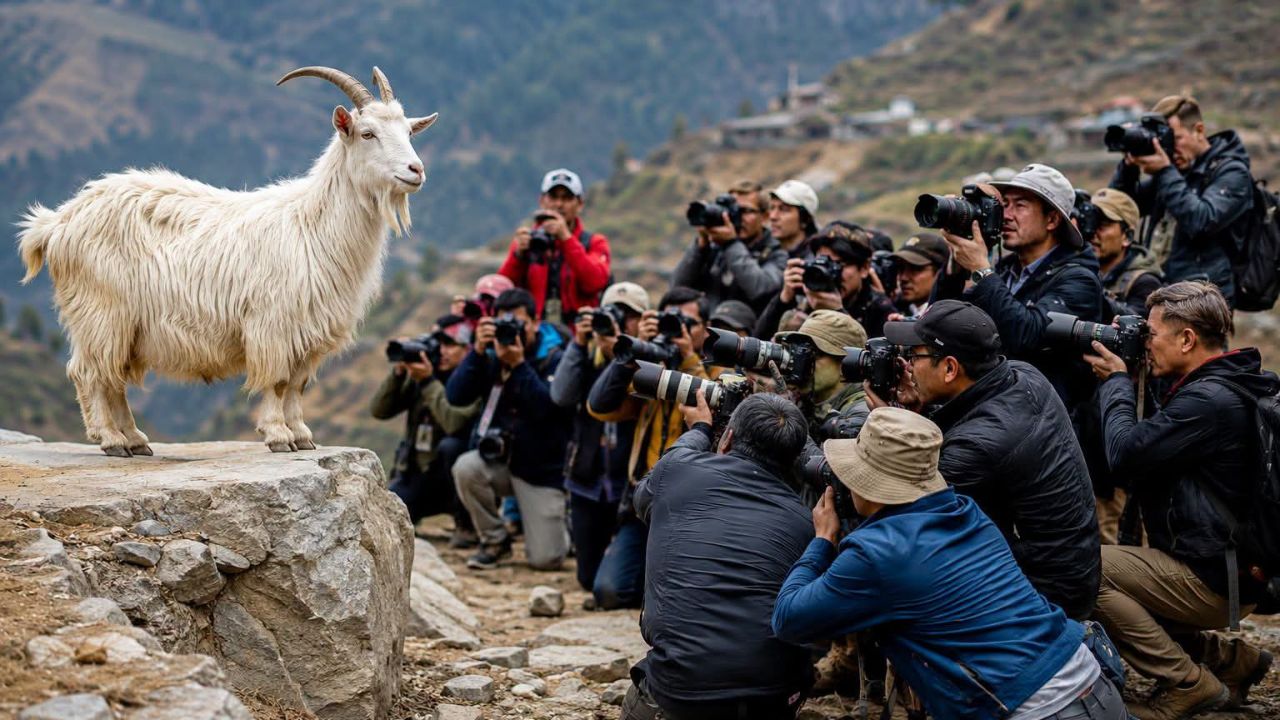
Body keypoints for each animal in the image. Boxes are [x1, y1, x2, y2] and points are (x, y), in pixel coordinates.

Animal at [17, 66, 438, 456]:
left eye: (409, 132)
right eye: (367, 133)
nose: (416, 170)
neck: (311, 224)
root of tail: (58, 222)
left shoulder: (309, 332)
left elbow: (296, 385)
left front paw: (302, 436)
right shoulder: (272, 324)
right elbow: (277, 381)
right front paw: (278, 435)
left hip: (124, 325)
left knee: (113, 376)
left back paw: (135, 439)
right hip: (101, 312)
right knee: (88, 372)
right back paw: (110, 440)